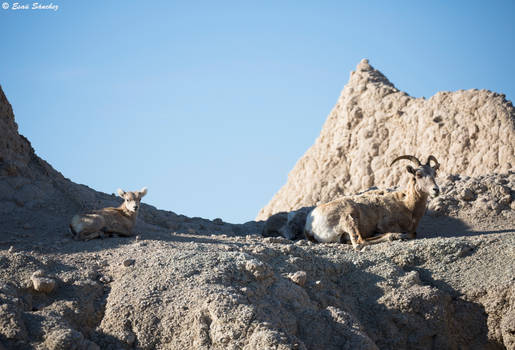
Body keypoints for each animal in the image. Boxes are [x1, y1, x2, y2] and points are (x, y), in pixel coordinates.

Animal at [304, 155, 442, 249]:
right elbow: (412, 233)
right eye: (418, 175)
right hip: (349, 217)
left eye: (434, 173)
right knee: (359, 242)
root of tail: (310, 225)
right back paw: (394, 236)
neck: (407, 205)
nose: (436, 190)